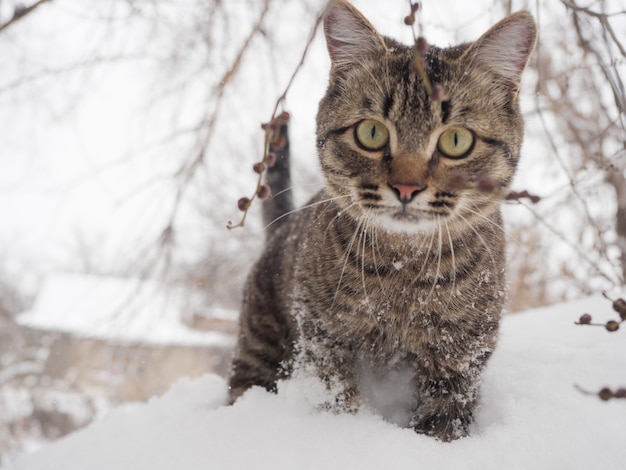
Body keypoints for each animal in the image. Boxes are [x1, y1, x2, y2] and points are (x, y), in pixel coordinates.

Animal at [229, 0, 536, 442]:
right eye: (371, 133)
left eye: (456, 140)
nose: (406, 187)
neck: (402, 275)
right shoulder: (322, 339)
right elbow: (335, 399)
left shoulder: (459, 356)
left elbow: (443, 421)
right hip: (260, 348)